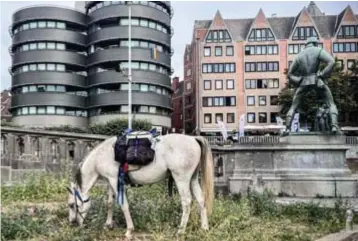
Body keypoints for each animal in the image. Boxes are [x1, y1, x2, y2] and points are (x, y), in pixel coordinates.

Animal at [66, 134, 214, 239]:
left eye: (72, 205)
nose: (73, 223)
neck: (102, 156)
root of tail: (193, 138)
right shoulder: (110, 182)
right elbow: (109, 203)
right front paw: (108, 224)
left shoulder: (114, 181)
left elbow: (123, 205)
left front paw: (129, 230)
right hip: (192, 179)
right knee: (201, 200)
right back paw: (204, 228)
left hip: (181, 178)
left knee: (187, 202)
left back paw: (181, 230)